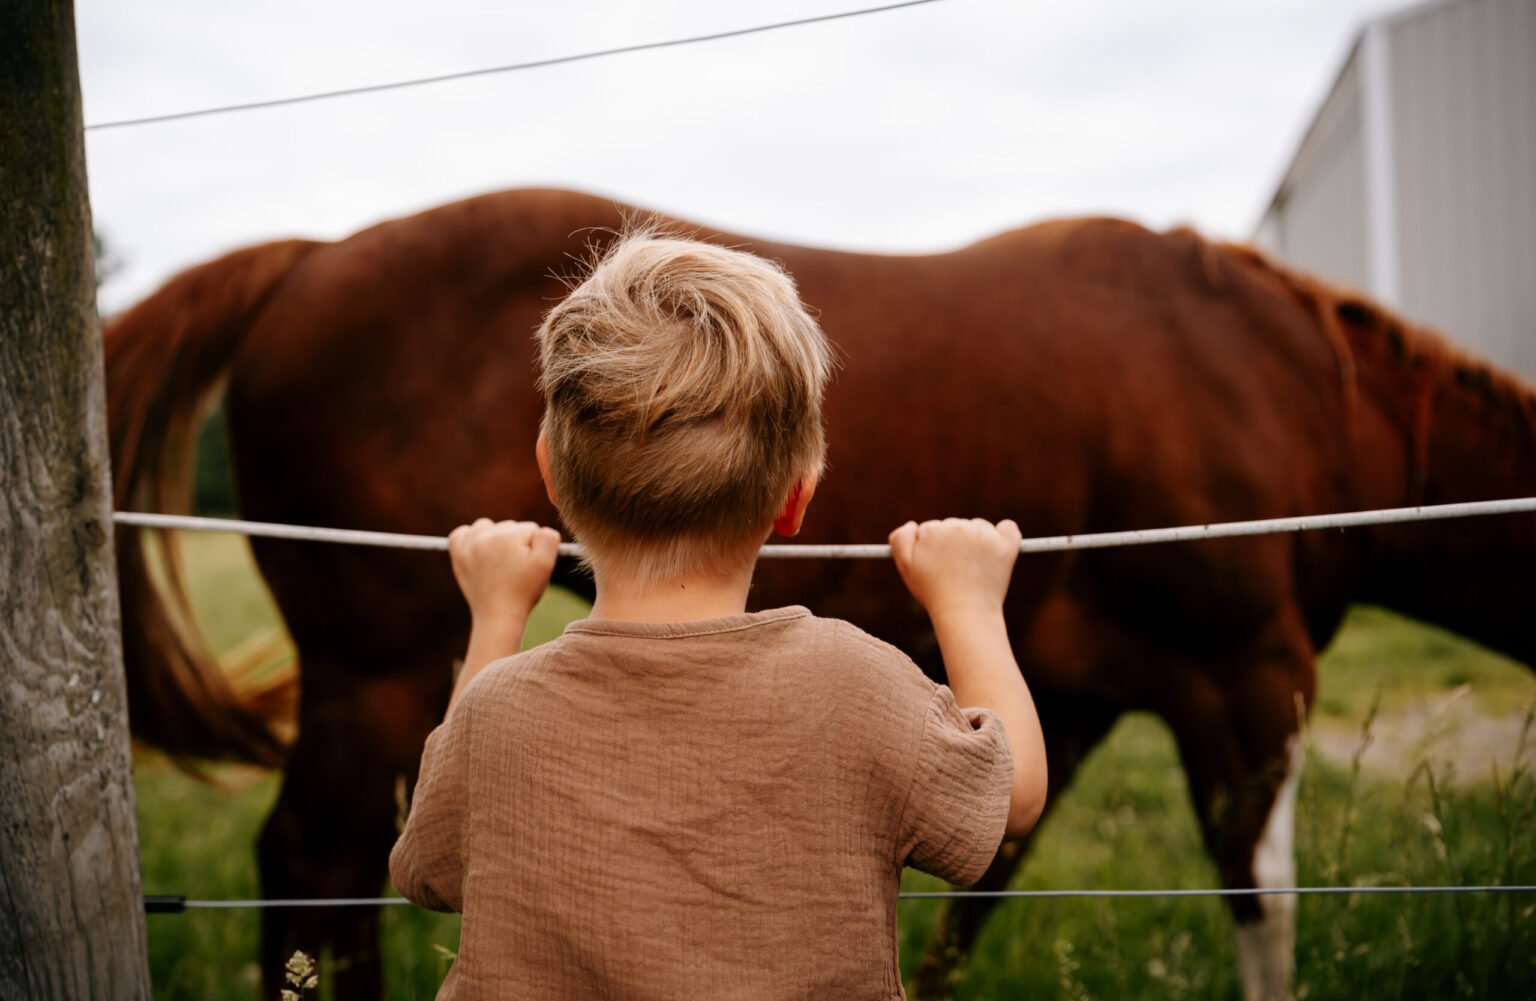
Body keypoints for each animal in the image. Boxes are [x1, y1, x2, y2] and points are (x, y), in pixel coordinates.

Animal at [105, 188, 1536, 1000]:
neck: (1287, 390)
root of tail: (312, 255)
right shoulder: (1248, 677)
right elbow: (1263, 903)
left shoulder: (1069, 701)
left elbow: (981, 886)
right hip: (374, 673)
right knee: (313, 864)